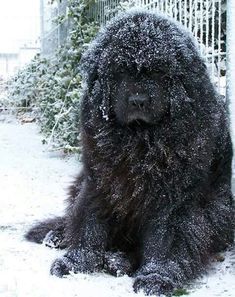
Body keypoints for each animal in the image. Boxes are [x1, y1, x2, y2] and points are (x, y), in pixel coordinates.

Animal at [26, 11, 234, 294]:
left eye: (158, 71)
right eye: (120, 72)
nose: (138, 101)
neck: (139, 139)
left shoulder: (174, 195)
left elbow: (166, 239)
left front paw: (156, 277)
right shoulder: (101, 179)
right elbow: (89, 220)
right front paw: (76, 262)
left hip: (219, 208)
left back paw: (119, 261)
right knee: (72, 213)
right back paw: (58, 235)